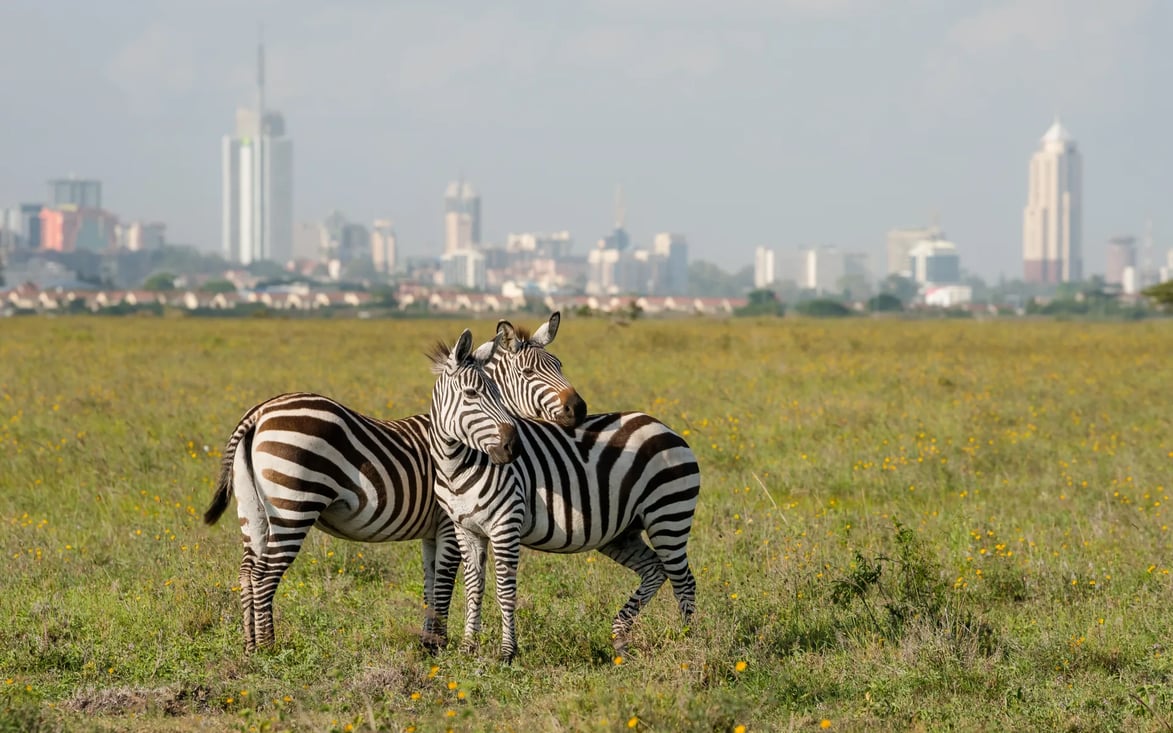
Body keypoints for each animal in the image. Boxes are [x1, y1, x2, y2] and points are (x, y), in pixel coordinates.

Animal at [206, 311, 586, 647]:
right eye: (528, 371)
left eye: (560, 365)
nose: (579, 410)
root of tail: (259, 412)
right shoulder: (448, 523)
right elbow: (445, 583)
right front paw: (437, 644)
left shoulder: (432, 531)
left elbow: (431, 584)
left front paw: (429, 642)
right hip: (293, 506)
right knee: (264, 575)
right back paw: (269, 648)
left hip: (253, 510)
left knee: (247, 572)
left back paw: (250, 646)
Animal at [429, 328, 694, 661]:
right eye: (471, 394)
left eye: (497, 395)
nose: (513, 448)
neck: (457, 466)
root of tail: (664, 426)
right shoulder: (466, 529)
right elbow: (473, 587)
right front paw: (467, 648)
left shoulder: (505, 526)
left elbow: (505, 590)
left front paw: (507, 652)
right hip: (622, 533)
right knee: (655, 569)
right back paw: (621, 637)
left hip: (669, 515)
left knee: (684, 580)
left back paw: (689, 642)